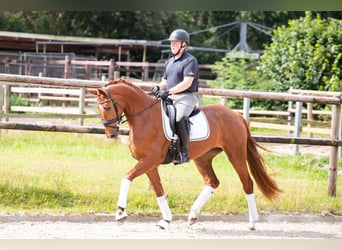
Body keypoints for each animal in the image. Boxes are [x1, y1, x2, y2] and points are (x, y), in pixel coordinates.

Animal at [87, 78, 282, 230]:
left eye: (107, 107)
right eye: (98, 107)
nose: (111, 134)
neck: (144, 118)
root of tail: (236, 115)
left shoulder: (150, 159)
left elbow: (127, 177)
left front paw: (120, 212)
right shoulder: (148, 163)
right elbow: (158, 190)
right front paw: (166, 220)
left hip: (235, 154)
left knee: (247, 182)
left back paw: (252, 222)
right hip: (203, 158)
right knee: (212, 181)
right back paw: (193, 215)